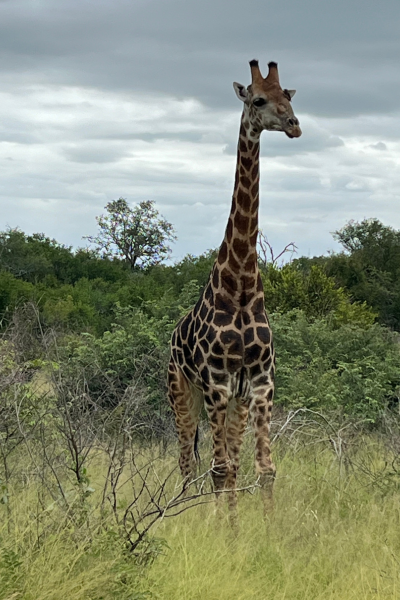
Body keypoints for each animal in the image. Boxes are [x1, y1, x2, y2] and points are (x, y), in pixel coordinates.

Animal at [167, 58, 302, 516]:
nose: (295, 125)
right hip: (182, 391)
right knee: (188, 463)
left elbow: (264, 469)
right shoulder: (216, 383)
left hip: (234, 404)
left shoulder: (259, 385)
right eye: (258, 100)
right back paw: (186, 515)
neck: (241, 285)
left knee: (229, 462)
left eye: (288, 96)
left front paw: (263, 527)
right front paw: (223, 529)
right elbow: (219, 470)